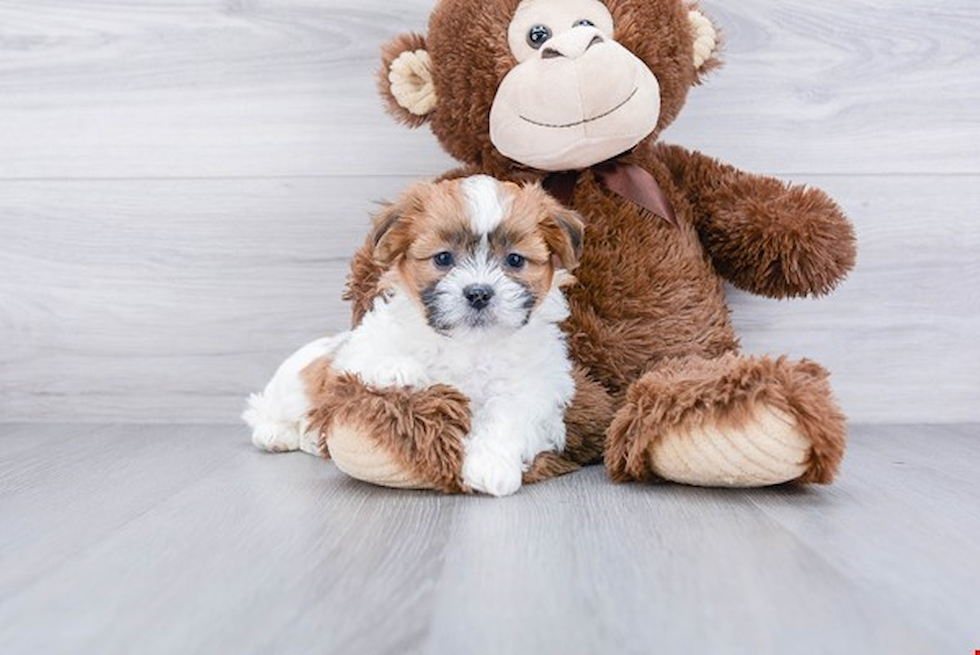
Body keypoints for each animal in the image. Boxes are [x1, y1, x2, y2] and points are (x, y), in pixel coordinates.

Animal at [244, 174, 580, 498]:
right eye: (443, 258)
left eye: (515, 260)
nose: (479, 293)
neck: (469, 344)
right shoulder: (357, 349)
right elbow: (372, 356)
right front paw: (402, 371)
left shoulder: (537, 389)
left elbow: (510, 414)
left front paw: (491, 466)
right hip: (289, 386)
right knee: (265, 410)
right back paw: (277, 433)